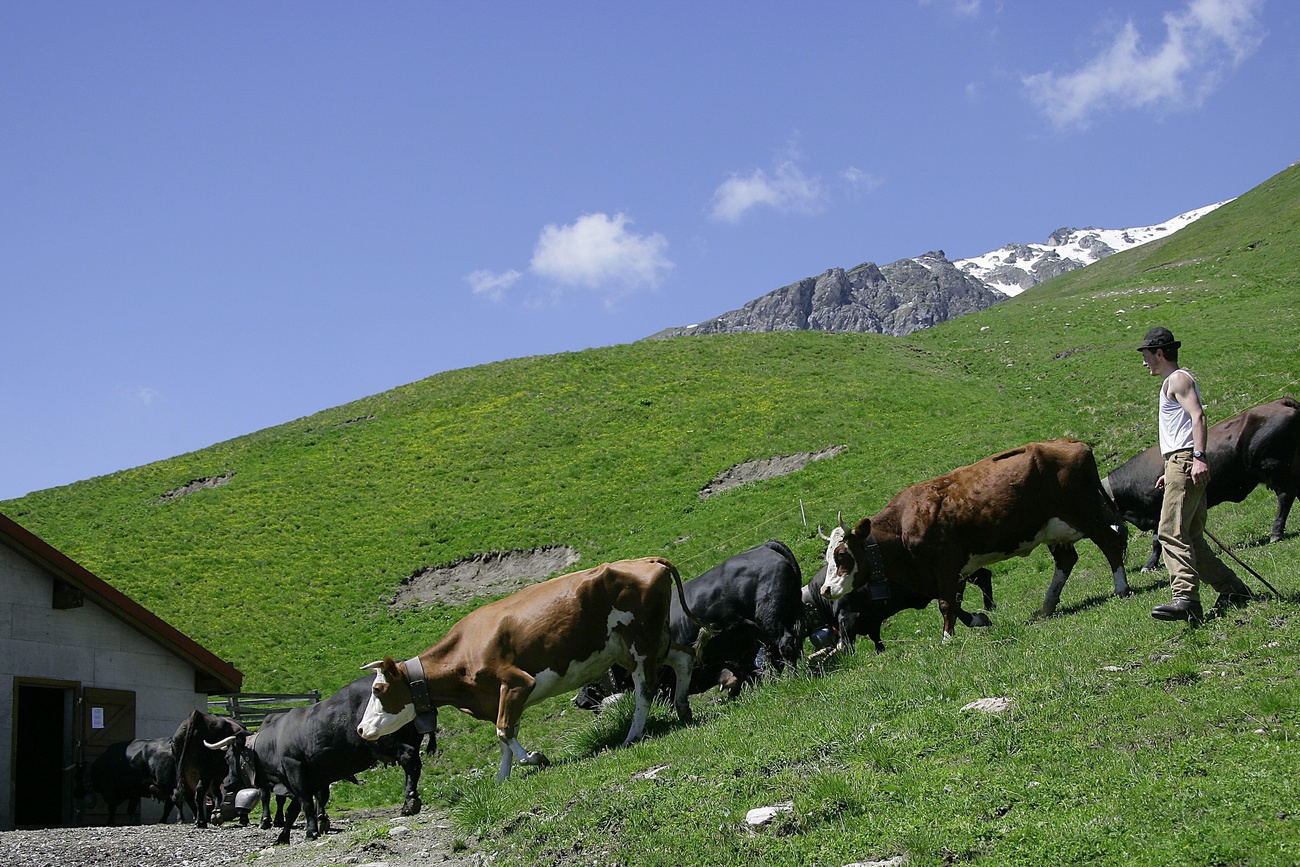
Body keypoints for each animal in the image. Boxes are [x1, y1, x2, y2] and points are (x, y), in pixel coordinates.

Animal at [209, 675, 426, 842]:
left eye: (228, 757)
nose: (226, 782)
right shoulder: (308, 778)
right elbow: (295, 808)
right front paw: (283, 837)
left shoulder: (295, 770)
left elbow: (305, 803)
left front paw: (311, 831)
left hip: (384, 740)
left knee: (409, 757)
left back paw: (410, 800)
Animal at [356, 558, 712, 785]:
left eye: (377, 689)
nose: (360, 729)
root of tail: (645, 560)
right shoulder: (497, 697)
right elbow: (503, 737)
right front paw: (502, 778)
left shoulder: (516, 683)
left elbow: (503, 731)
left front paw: (535, 759)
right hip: (644, 643)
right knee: (683, 659)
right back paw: (682, 709)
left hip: (641, 642)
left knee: (645, 688)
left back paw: (632, 736)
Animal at [821, 441, 1128, 636]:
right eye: (828, 557)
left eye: (842, 555)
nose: (826, 590)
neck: (903, 524)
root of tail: (1073, 443)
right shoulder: (946, 572)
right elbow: (953, 604)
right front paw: (979, 619)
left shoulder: (946, 564)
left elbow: (946, 604)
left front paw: (947, 638)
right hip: (1054, 528)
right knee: (1067, 559)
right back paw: (1047, 606)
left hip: (1083, 513)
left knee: (1110, 543)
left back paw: (1121, 589)